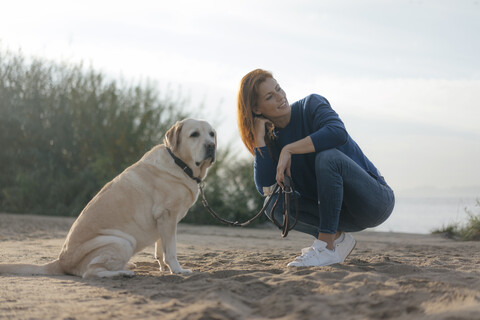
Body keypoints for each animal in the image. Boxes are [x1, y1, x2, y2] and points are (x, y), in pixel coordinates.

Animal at [0, 119, 216, 278]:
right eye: (194, 134)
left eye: (212, 134)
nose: (211, 146)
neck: (180, 164)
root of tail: (61, 262)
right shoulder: (168, 216)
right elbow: (171, 250)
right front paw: (178, 270)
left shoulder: (163, 221)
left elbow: (160, 249)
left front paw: (164, 268)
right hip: (122, 241)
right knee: (90, 272)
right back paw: (122, 273)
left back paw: (126, 266)